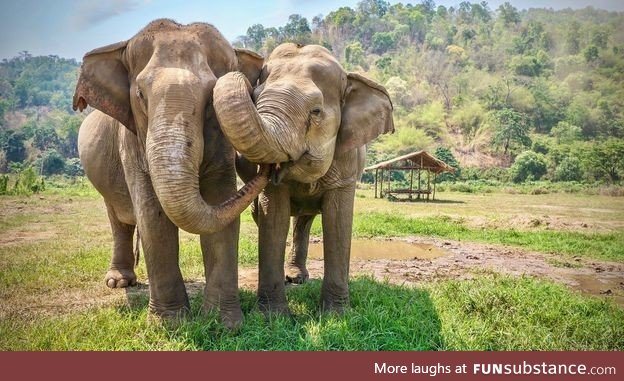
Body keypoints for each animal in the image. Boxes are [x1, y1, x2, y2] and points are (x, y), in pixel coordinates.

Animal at [72, 18, 268, 326]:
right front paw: (170, 324)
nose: (269, 167)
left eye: (211, 99)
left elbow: (220, 204)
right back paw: (119, 282)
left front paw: (223, 324)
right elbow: (153, 216)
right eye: (140, 95)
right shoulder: (131, 140)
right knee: (118, 219)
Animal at [212, 43, 392, 314]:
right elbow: (274, 219)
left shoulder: (347, 164)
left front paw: (337, 314)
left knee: (304, 221)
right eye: (255, 98)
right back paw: (292, 278)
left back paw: (299, 277)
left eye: (315, 111)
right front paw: (272, 316)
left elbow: (338, 222)